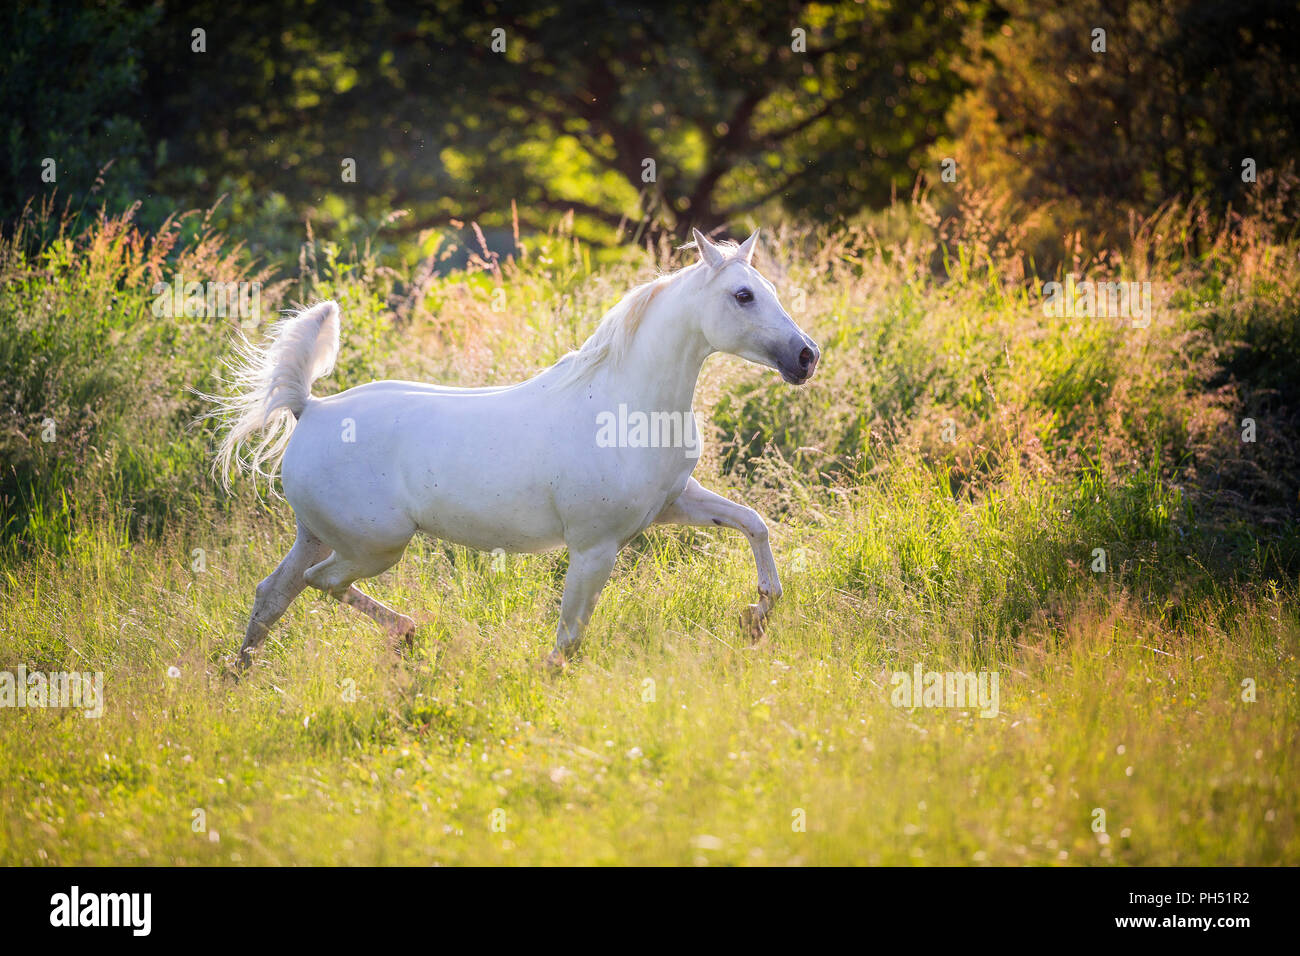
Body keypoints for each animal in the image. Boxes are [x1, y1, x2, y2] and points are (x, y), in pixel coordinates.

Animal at [208, 227, 816, 671]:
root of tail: (310, 409)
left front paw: (758, 612)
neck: (624, 403)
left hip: (317, 535)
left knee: (273, 595)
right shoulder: (595, 546)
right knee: (320, 583)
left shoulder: (674, 503)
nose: (807, 357)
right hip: (375, 546)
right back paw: (407, 633)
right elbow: (568, 637)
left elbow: (753, 523)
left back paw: (241, 677)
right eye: (743, 295)